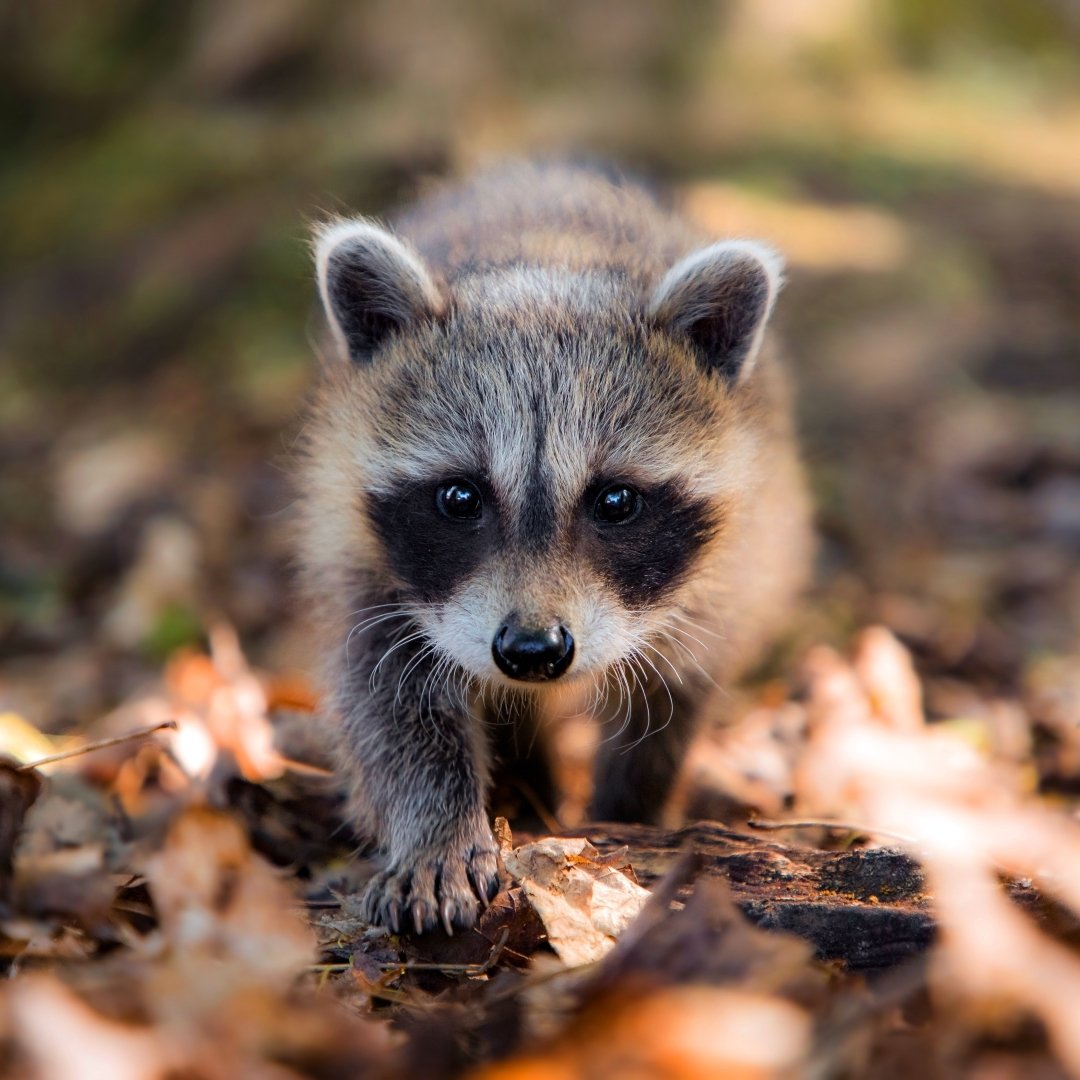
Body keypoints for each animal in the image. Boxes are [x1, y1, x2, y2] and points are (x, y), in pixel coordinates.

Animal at [296, 162, 812, 935]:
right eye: (459, 498)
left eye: (616, 501)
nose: (532, 652)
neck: (548, 258)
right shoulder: (360, 551)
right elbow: (386, 699)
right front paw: (435, 829)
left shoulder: (729, 567)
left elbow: (671, 696)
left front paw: (629, 814)